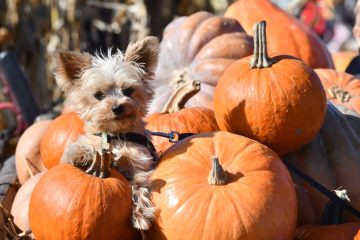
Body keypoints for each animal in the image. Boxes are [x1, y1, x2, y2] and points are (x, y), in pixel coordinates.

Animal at [54, 36, 159, 232]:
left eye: (128, 90)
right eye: (98, 95)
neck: (116, 135)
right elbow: (85, 145)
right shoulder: (96, 140)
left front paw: (140, 214)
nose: (117, 107)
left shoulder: (139, 164)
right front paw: (80, 154)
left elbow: (139, 186)